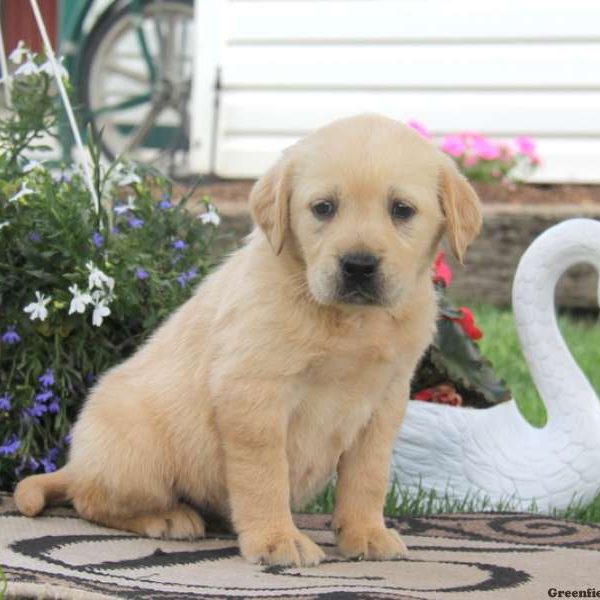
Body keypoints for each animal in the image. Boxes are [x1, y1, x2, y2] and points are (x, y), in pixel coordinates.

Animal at [15, 112, 482, 568]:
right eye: (323, 208)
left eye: (402, 210)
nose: (358, 266)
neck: (349, 320)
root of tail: (78, 463)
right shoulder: (253, 391)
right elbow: (264, 474)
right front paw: (277, 540)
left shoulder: (386, 399)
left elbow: (368, 475)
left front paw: (365, 532)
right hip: (137, 449)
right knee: (90, 499)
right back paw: (166, 516)